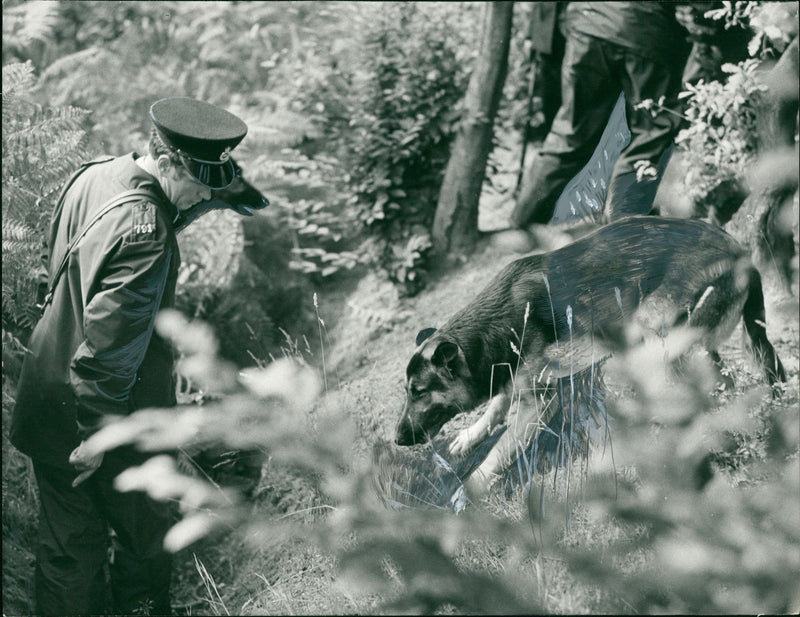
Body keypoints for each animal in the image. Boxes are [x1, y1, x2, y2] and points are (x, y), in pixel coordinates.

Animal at [396, 217, 784, 490]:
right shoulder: (510, 378)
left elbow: (499, 449)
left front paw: (469, 490)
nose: (397, 439)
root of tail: (741, 253)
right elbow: (495, 407)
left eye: (419, 392)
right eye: (409, 393)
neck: (494, 325)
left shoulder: (539, 401)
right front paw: (469, 435)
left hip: (653, 338)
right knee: (725, 382)